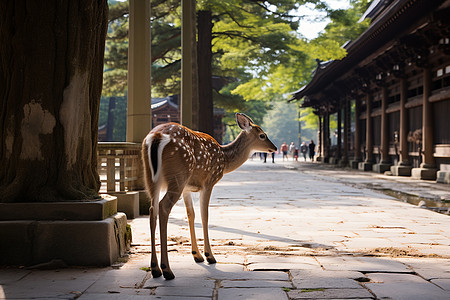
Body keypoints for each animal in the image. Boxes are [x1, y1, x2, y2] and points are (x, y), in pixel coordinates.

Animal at [142, 112, 276, 278]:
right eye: (262, 135)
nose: (275, 148)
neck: (224, 159)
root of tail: (157, 136)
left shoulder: (187, 188)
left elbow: (191, 214)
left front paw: (197, 255)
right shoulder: (209, 182)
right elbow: (204, 215)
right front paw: (209, 256)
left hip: (151, 177)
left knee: (152, 209)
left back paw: (155, 268)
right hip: (178, 174)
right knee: (163, 206)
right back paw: (166, 269)